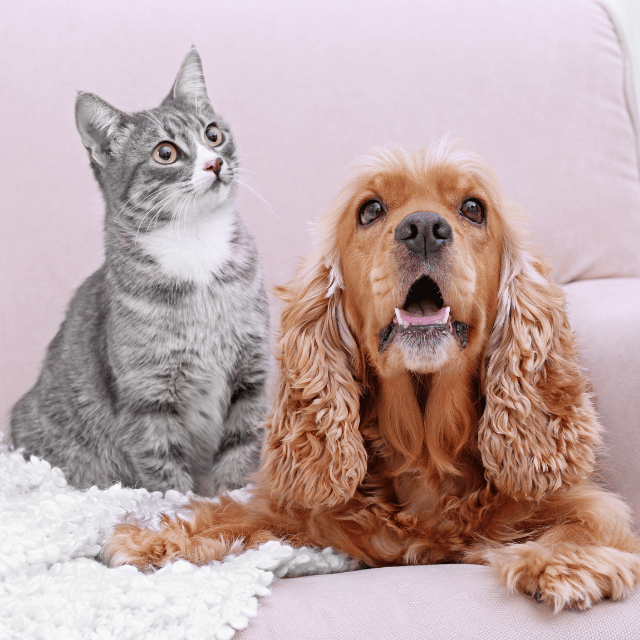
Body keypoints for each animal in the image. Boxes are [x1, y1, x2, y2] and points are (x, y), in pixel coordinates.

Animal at [10, 50, 270, 498]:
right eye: (165, 153)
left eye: (213, 134)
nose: (215, 162)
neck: (196, 247)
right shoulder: (146, 396)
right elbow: (163, 468)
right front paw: (182, 505)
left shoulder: (251, 374)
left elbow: (242, 446)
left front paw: (234, 499)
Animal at [106, 144, 640, 608]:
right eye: (370, 210)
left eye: (473, 208)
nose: (424, 227)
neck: (424, 449)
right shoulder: (304, 515)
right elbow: (234, 512)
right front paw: (157, 537)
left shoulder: (575, 501)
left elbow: (589, 521)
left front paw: (564, 563)